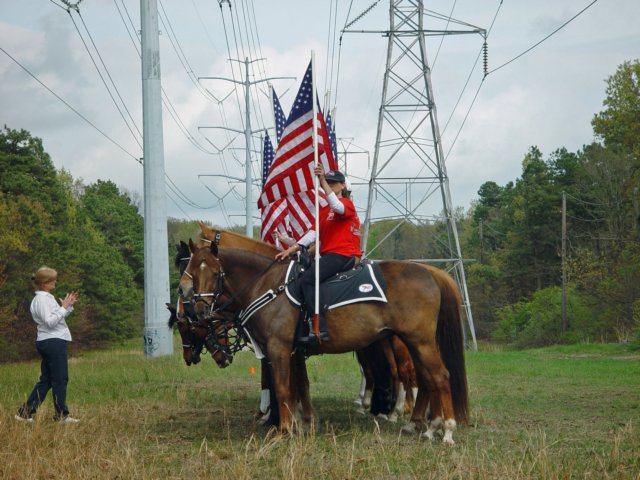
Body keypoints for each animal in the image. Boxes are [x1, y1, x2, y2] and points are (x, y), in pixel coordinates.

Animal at [180, 240, 470, 446]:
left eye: (215, 272)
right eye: (192, 270)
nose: (199, 307)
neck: (268, 286)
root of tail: (430, 272)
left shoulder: (279, 348)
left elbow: (283, 389)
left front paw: (285, 430)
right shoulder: (292, 352)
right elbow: (298, 387)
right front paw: (300, 424)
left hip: (420, 341)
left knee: (439, 377)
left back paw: (446, 430)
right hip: (415, 343)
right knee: (427, 379)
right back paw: (426, 427)